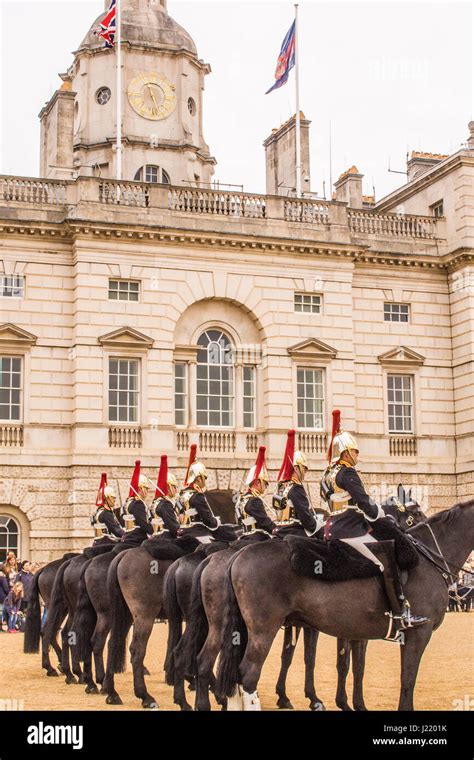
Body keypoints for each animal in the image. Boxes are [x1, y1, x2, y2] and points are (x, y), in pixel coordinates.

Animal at [217, 502, 472, 708]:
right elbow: (407, 679)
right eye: (415, 513)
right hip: (263, 630)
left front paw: (352, 704)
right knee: (248, 674)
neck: (430, 559)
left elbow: (355, 667)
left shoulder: (358, 631)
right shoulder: (418, 632)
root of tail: (238, 555)